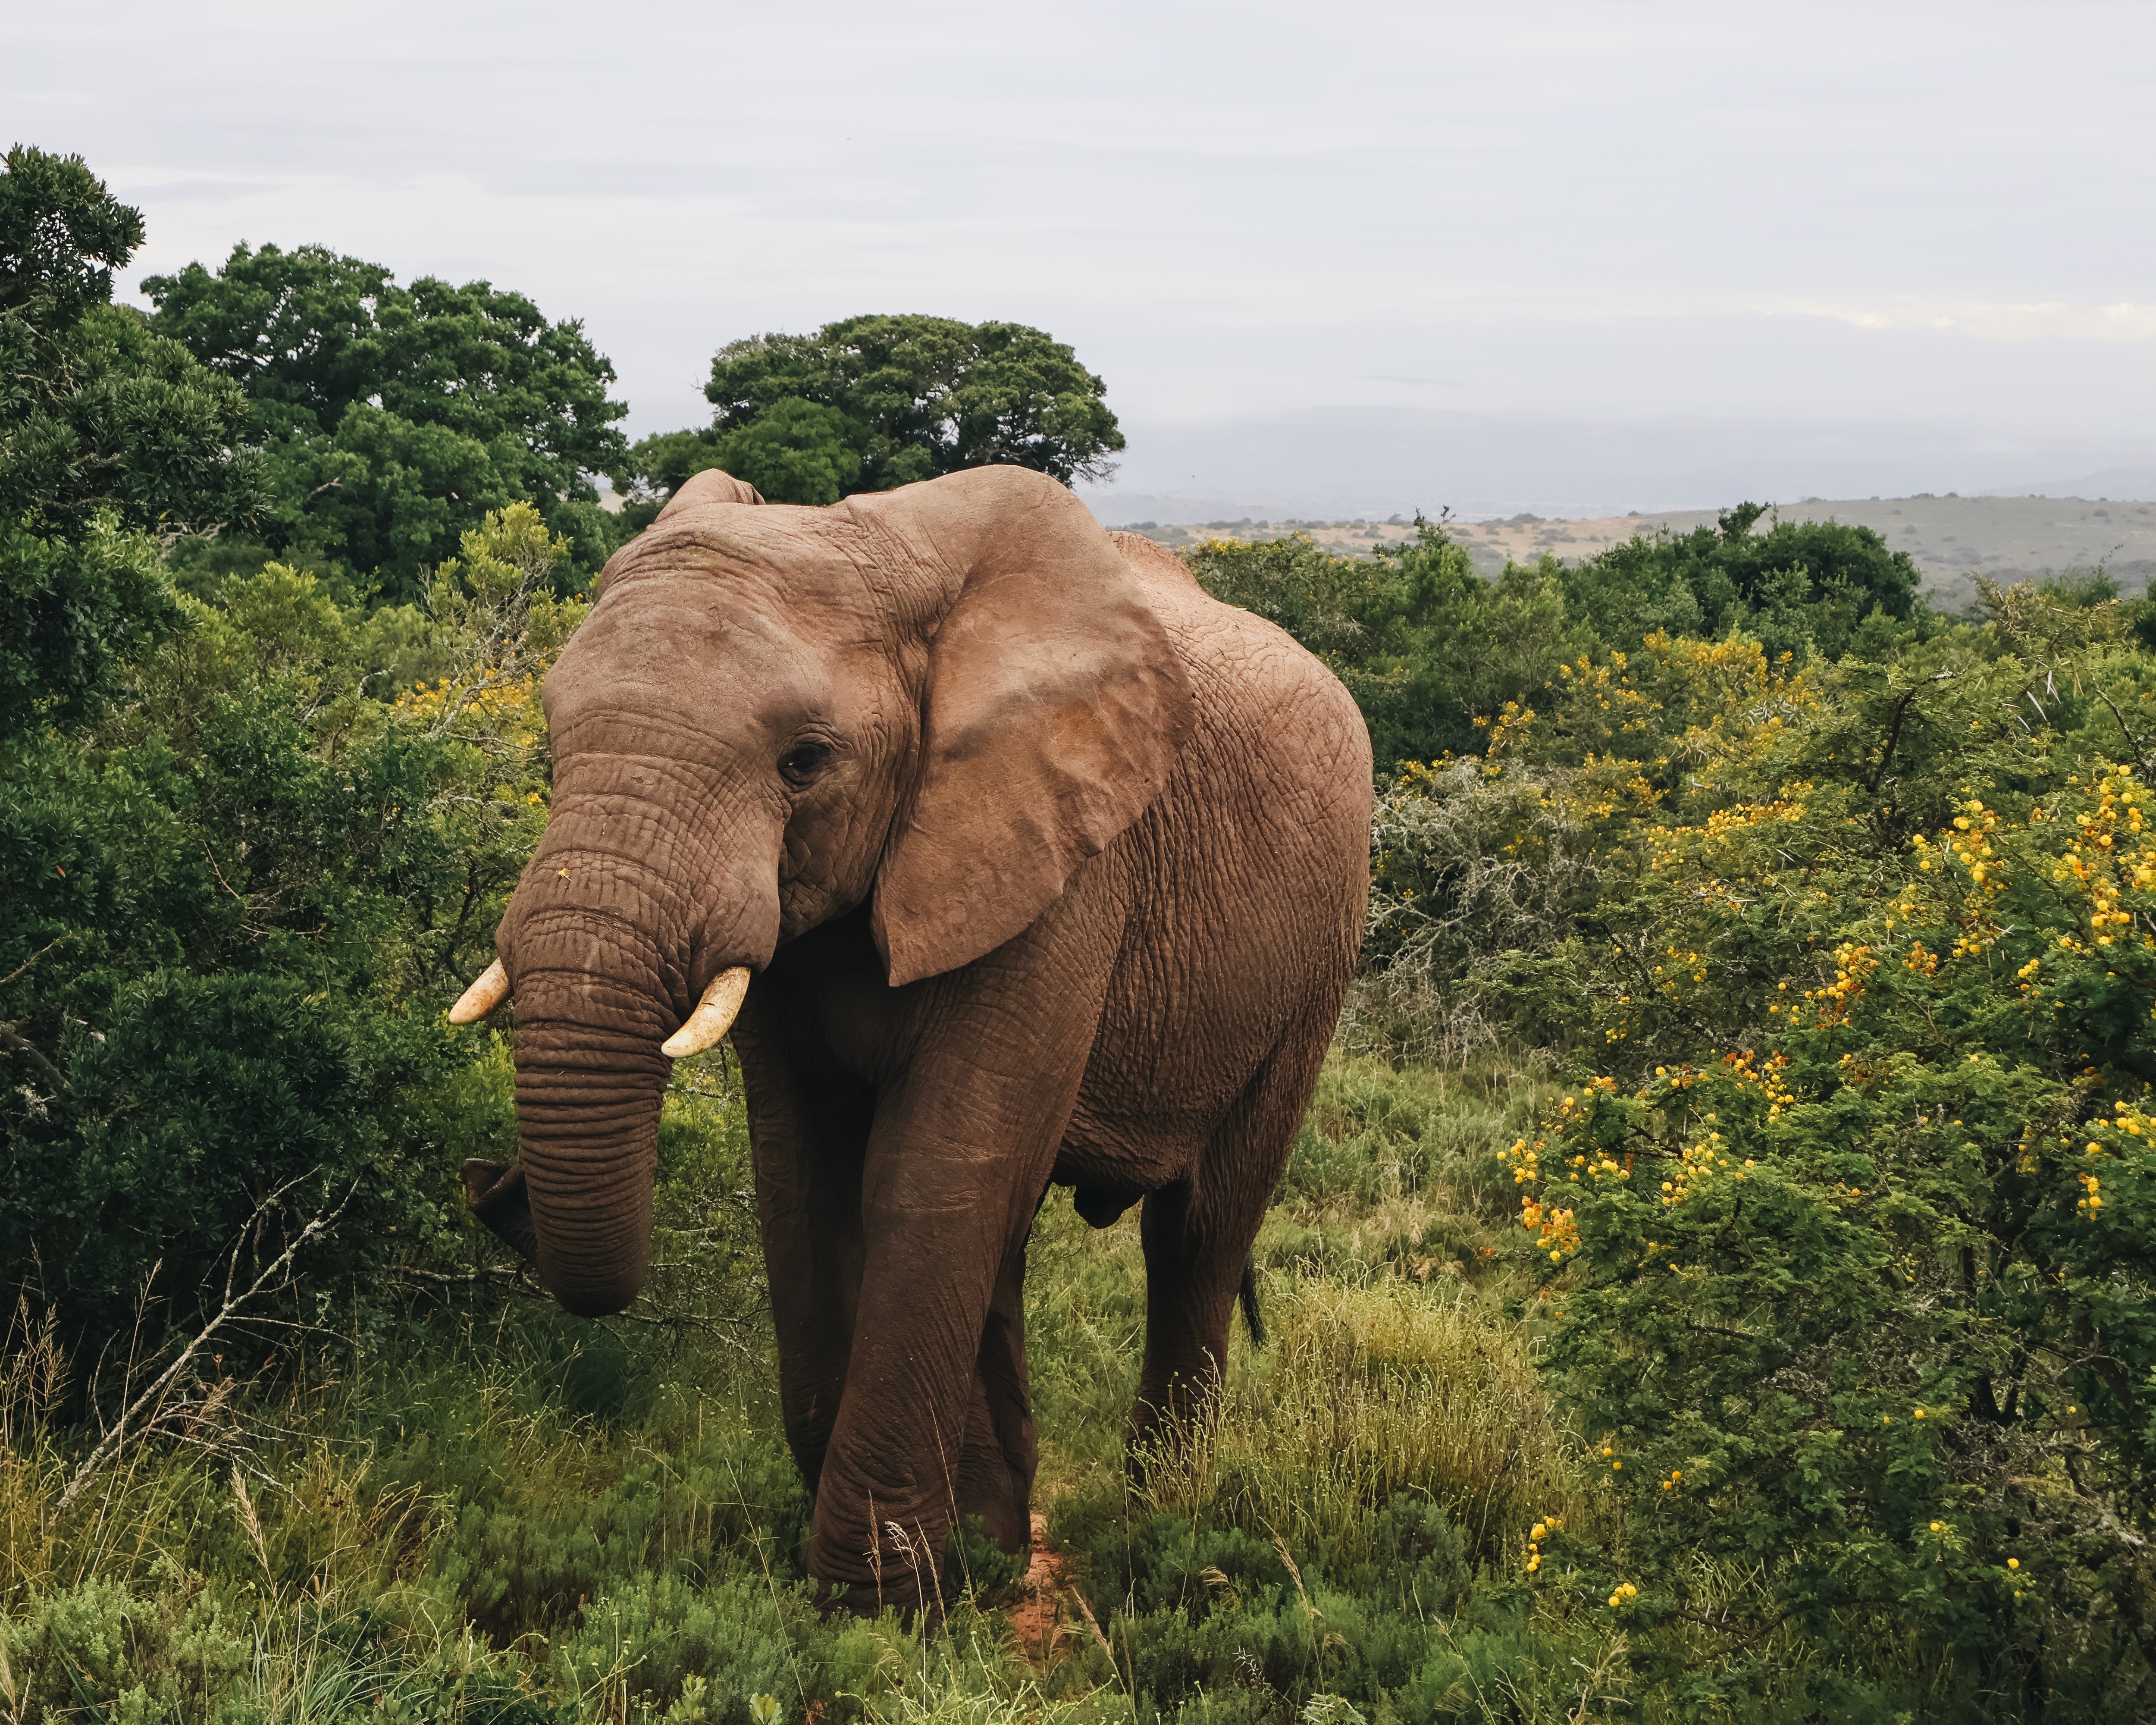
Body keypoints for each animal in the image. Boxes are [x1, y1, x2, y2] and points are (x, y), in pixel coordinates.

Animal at [451, 463, 1371, 1613]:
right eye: (550, 736)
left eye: (805, 762)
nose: (490, 1180)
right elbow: (804, 1178)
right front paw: (911, 1580)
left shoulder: (1063, 861)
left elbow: (932, 1173)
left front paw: (875, 1602)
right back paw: (998, 1544)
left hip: (1315, 960)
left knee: (1198, 1235)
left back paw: (1159, 1526)